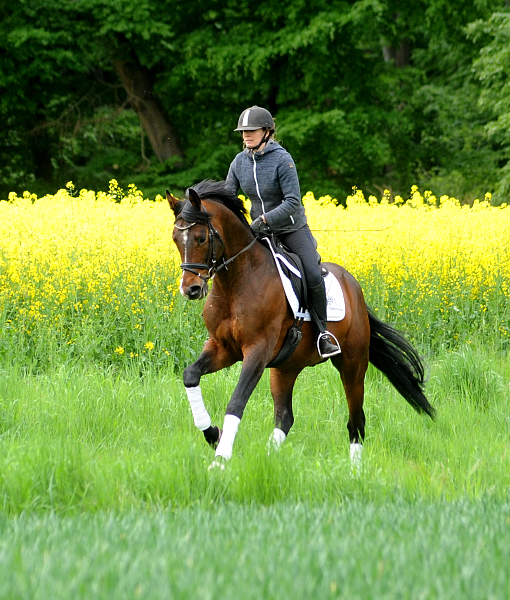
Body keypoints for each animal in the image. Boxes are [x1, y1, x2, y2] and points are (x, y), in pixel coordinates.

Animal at [166, 178, 434, 468]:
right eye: (175, 239)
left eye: (201, 238)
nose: (190, 289)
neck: (236, 283)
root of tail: (354, 287)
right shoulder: (223, 348)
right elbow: (190, 375)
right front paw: (213, 434)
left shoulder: (257, 351)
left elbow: (236, 402)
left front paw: (220, 459)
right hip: (285, 367)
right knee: (285, 417)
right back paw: (268, 460)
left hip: (352, 363)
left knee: (356, 420)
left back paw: (354, 471)